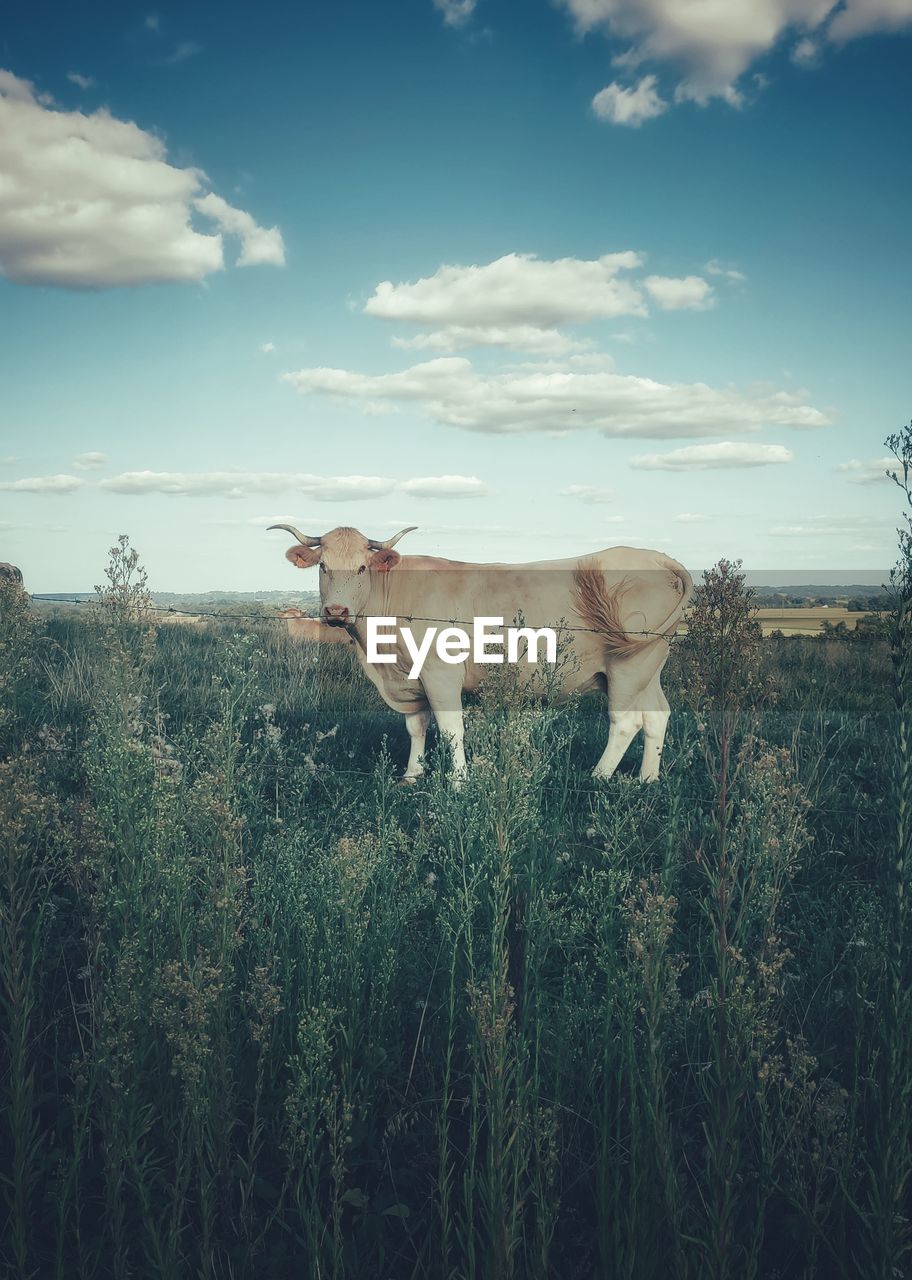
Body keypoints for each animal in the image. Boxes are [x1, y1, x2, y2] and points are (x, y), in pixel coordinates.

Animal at [268, 524, 691, 783]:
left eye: (360, 568)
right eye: (323, 566)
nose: (336, 611)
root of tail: (659, 558)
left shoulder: (440, 673)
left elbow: (451, 728)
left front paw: (458, 782)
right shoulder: (411, 678)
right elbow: (416, 725)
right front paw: (412, 774)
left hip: (628, 667)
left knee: (625, 721)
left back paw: (599, 777)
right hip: (649, 669)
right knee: (657, 716)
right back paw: (646, 780)